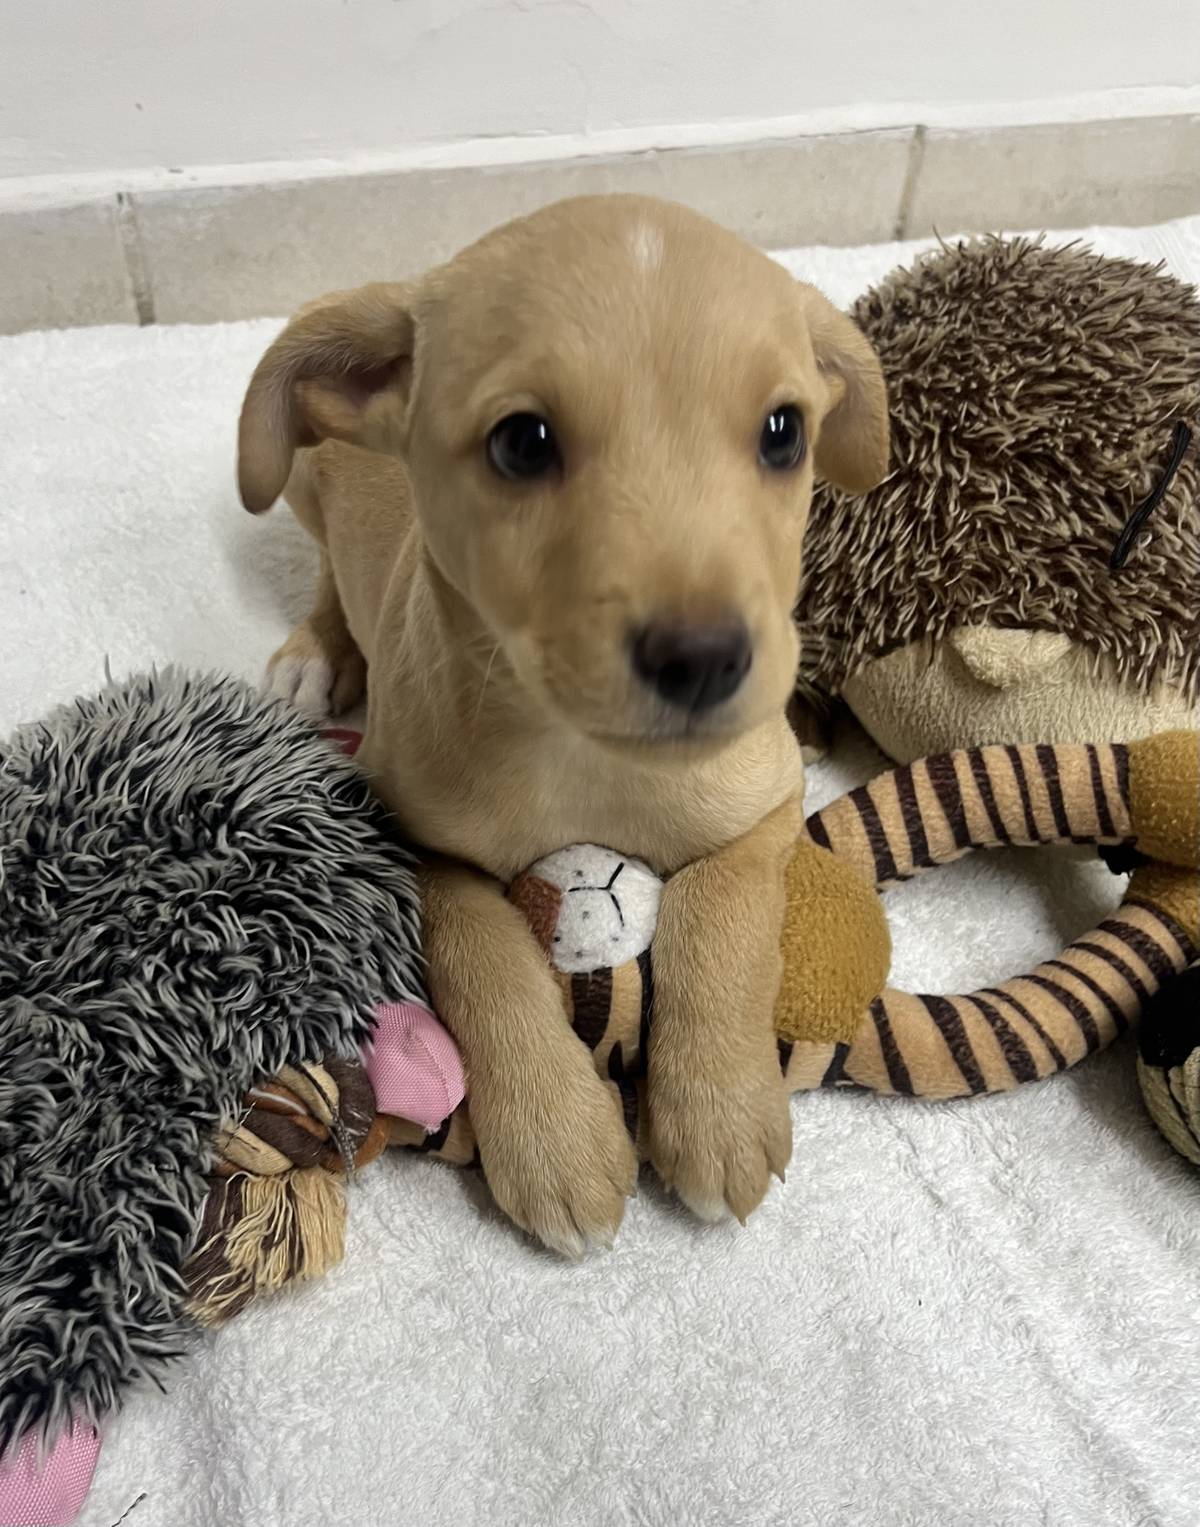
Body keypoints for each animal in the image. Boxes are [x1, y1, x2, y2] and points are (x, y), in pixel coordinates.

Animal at [238, 194, 889, 1254]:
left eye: (784, 431)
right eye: (523, 442)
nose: (706, 659)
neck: (582, 760)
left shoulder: (766, 801)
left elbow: (727, 917)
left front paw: (718, 1109)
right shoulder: (402, 835)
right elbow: (483, 949)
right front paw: (555, 1137)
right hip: (296, 477)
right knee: (331, 568)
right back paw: (319, 650)